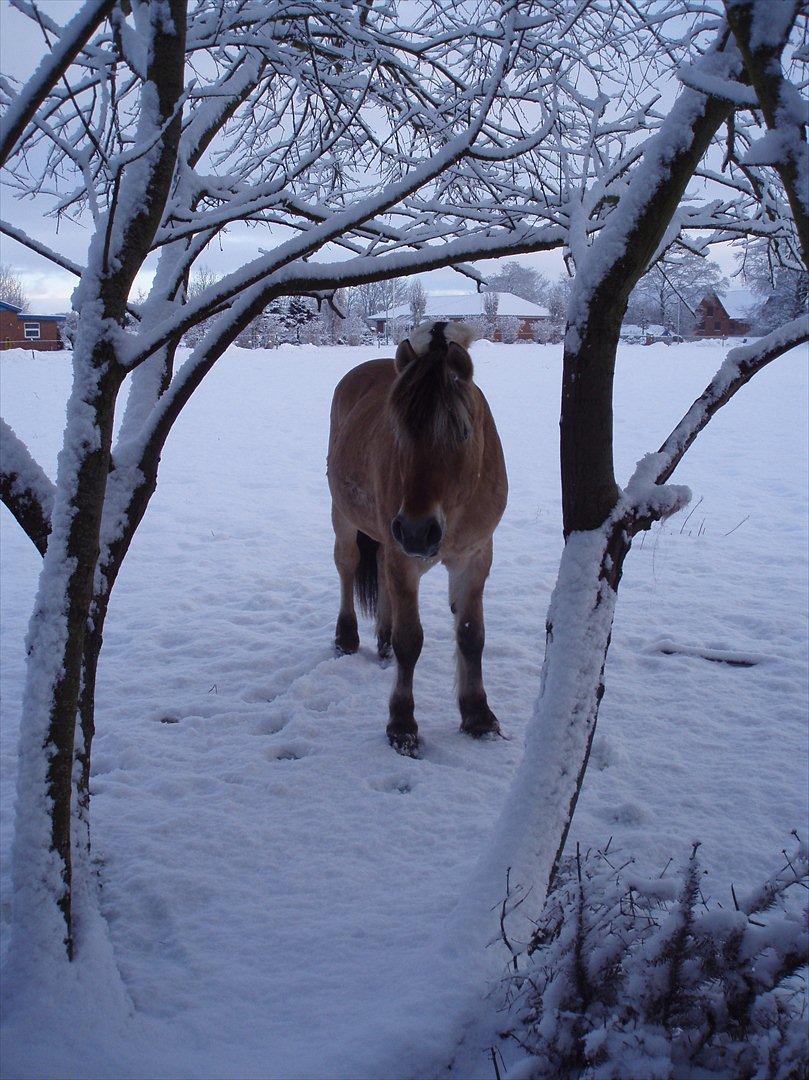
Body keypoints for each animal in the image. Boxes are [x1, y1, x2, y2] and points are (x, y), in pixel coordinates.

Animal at [326, 319, 505, 756]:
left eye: (462, 431)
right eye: (396, 430)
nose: (417, 530)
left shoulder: (475, 557)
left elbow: (472, 636)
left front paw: (478, 716)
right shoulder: (403, 556)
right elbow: (411, 640)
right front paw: (402, 725)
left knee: (382, 581)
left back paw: (383, 642)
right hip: (348, 519)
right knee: (347, 565)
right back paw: (347, 637)